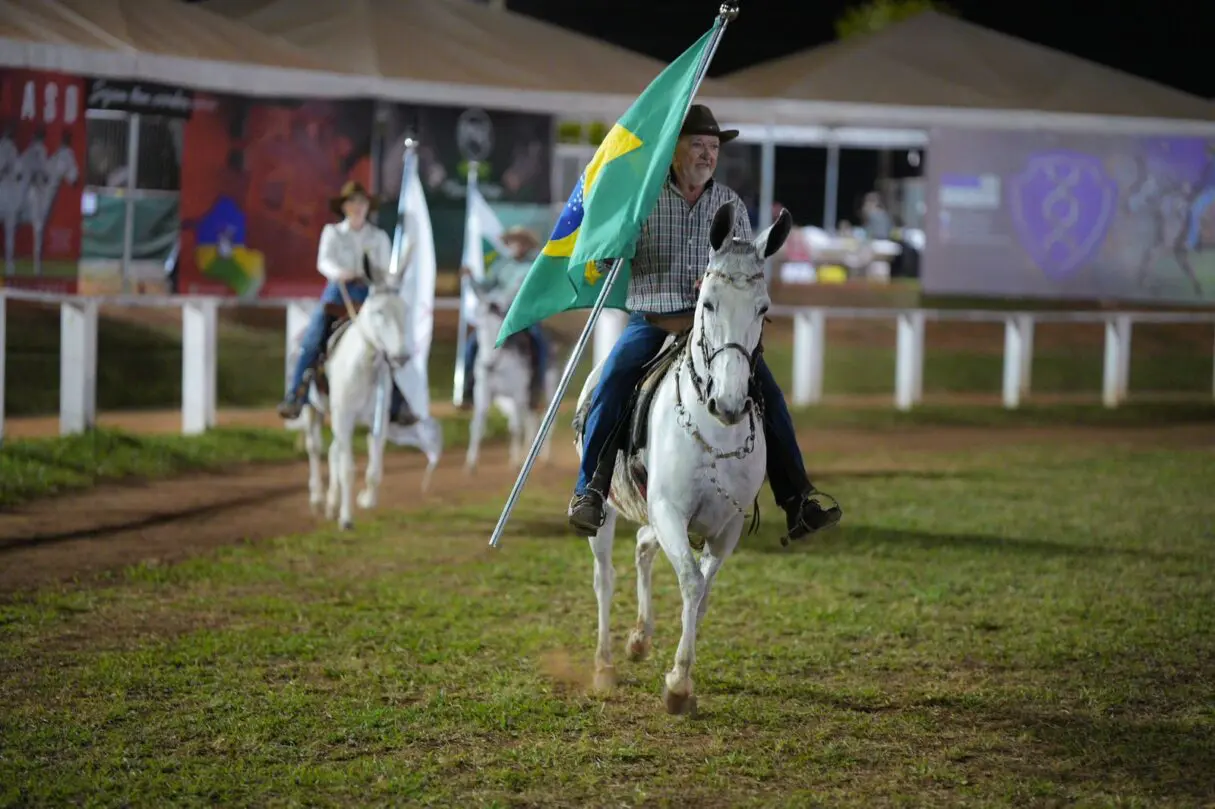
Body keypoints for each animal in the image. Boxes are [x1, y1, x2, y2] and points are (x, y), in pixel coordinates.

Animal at [298, 276, 413, 529]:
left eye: (405, 310)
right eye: (379, 312)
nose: (401, 356)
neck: (364, 366)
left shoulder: (377, 419)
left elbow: (373, 469)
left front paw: (366, 500)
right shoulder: (344, 416)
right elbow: (347, 470)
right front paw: (346, 518)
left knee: (333, 451)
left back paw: (331, 503)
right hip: (314, 410)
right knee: (315, 447)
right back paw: (317, 499)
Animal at [461, 286, 554, 468]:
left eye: (501, 326)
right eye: (480, 326)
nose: (488, 365)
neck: (500, 365)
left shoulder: (518, 393)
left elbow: (516, 427)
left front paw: (515, 461)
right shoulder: (483, 392)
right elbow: (477, 426)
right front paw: (471, 463)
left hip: (548, 387)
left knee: (544, 420)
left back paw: (543, 457)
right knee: (530, 420)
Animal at [573, 200, 792, 714]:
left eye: (764, 308)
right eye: (707, 302)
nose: (728, 402)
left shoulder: (727, 525)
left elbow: (705, 590)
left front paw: (676, 672)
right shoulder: (671, 510)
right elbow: (692, 582)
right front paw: (677, 685)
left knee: (643, 547)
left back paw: (639, 639)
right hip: (606, 511)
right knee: (604, 577)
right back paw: (605, 664)